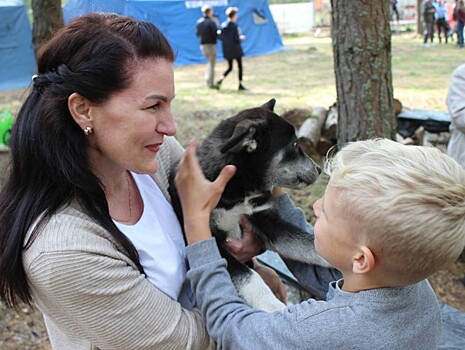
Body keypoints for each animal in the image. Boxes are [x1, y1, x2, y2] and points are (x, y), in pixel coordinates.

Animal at [170, 98, 330, 312]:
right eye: (295, 144)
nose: (319, 169)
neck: (238, 190)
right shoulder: (212, 241)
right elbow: (249, 277)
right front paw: (274, 307)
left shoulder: (266, 221)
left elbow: (308, 244)